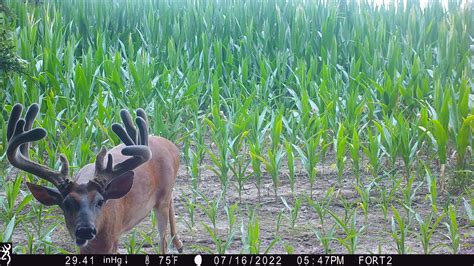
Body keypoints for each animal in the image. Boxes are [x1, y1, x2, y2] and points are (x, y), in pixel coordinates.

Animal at [5, 103, 183, 254]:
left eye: (100, 201)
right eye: (66, 204)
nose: (85, 230)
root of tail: (172, 146)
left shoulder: (112, 240)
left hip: (162, 200)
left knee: (163, 240)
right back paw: (178, 244)